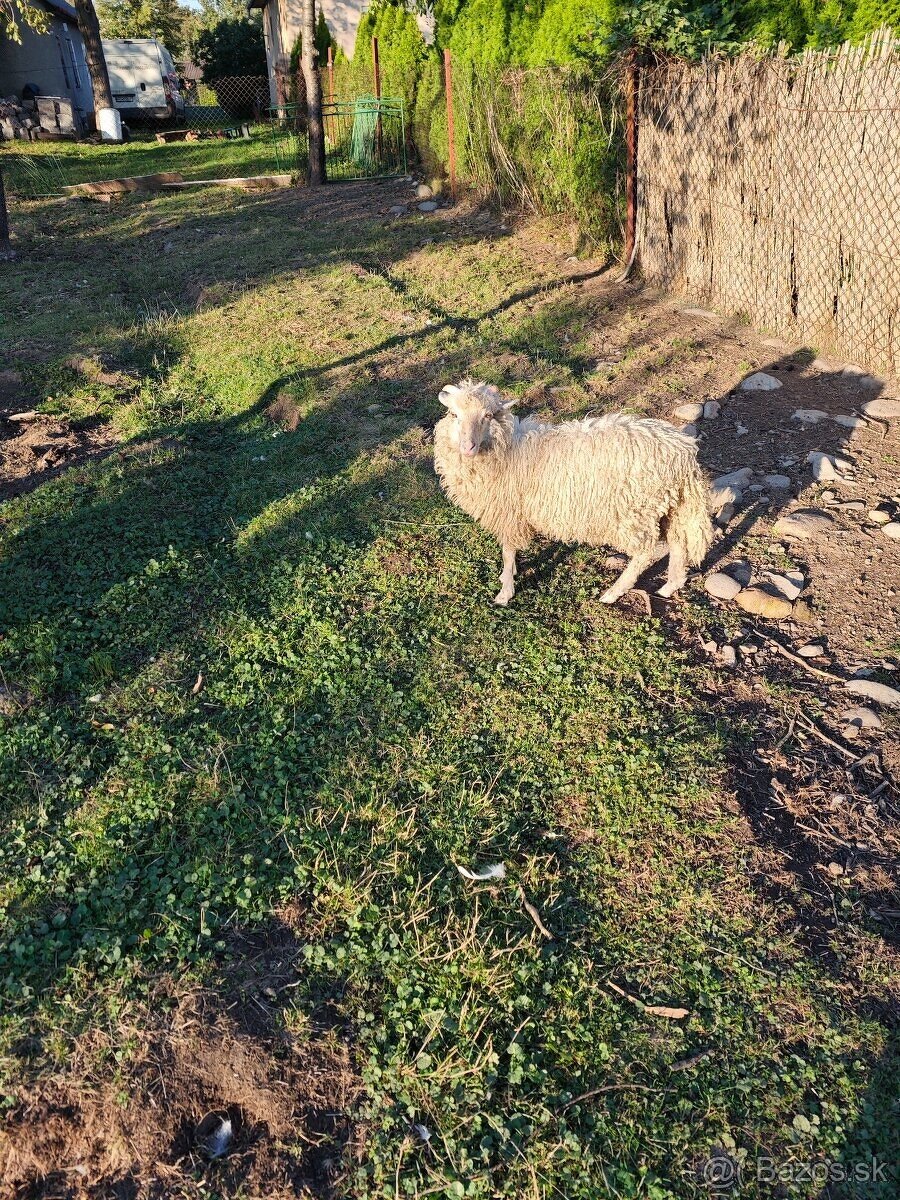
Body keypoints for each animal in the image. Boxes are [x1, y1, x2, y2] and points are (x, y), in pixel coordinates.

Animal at [434, 381, 715, 609]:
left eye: (488, 415)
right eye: (454, 414)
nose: (467, 446)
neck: (507, 449)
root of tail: (682, 451)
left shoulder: (509, 512)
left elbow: (508, 551)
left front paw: (505, 592)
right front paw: (509, 578)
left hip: (636, 511)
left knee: (645, 552)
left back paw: (613, 593)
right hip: (670, 504)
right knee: (678, 542)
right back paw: (670, 586)